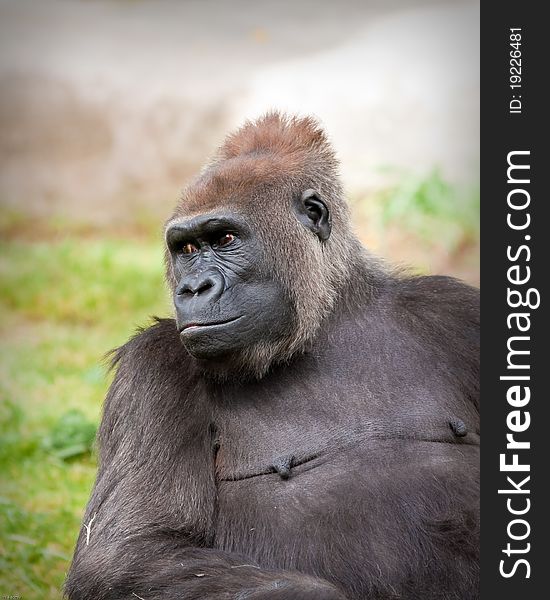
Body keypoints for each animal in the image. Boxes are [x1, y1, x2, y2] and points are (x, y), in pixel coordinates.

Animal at [64, 113, 480, 600]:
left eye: (225, 238)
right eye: (186, 249)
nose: (192, 288)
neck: (322, 323)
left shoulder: (458, 312)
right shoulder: (151, 370)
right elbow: (128, 553)